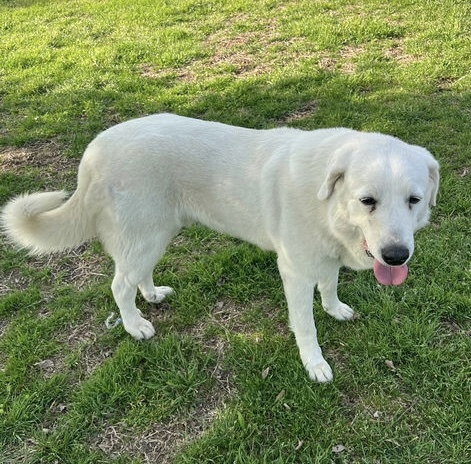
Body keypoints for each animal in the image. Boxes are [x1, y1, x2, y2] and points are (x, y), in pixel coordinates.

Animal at [0, 114, 442, 382]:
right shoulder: (296, 272)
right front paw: (315, 364)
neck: (326, 202)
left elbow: (330, 286)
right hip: (144, 236)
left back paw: (152, 295)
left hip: (156, 235)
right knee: (118, 286)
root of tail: (94, 149)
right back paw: (135, 325)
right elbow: (306, 327)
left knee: (136, 276)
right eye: (368, 201)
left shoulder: (325, 256)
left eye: (413, 200)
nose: (396, 256)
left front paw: (335, 309)